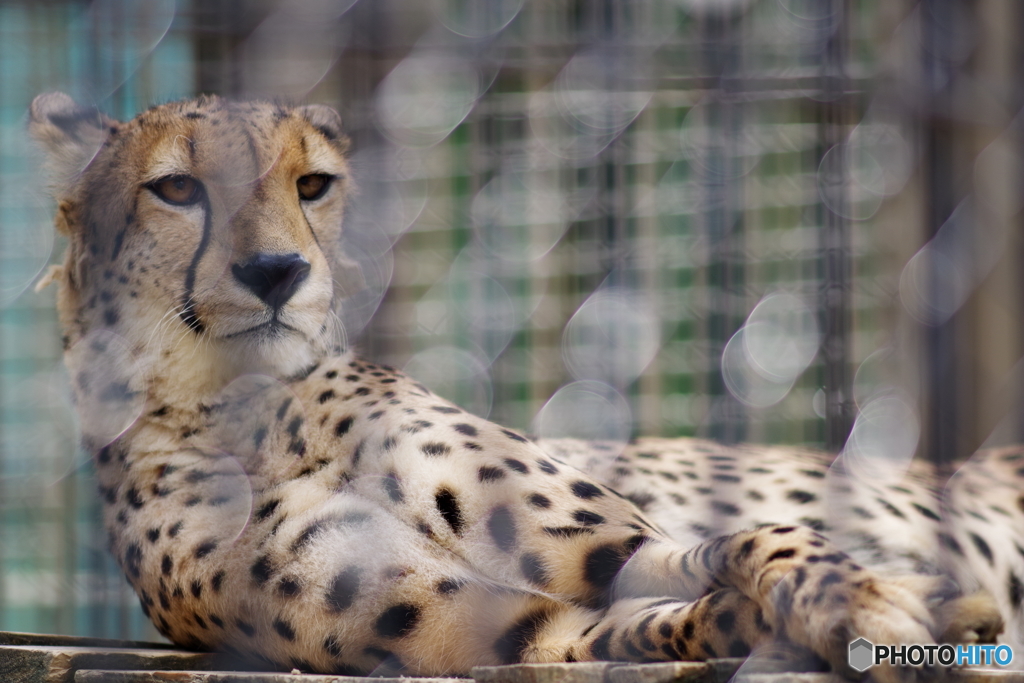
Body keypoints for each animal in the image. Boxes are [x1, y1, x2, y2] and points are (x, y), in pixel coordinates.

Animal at [28, 92, 1019, 683]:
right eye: (177, 189)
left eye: (312, 184)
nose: (278, 271)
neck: (257, 410)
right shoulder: (502, 631)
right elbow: (655, 622)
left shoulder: (616, 542)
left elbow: (750, 539)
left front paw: (870, 596)